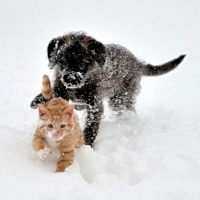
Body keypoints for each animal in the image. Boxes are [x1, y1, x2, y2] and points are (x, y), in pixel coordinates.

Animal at [30, 31, 185, 147]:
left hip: (120, 100)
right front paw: (38, 100)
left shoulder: (95, 106)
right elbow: (53, 95)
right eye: (62, 62)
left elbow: (91, 127)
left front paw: (87, 145)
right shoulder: (61, 90)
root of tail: (137, 62)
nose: (70, 79)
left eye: (82, 64)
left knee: (128, 111)